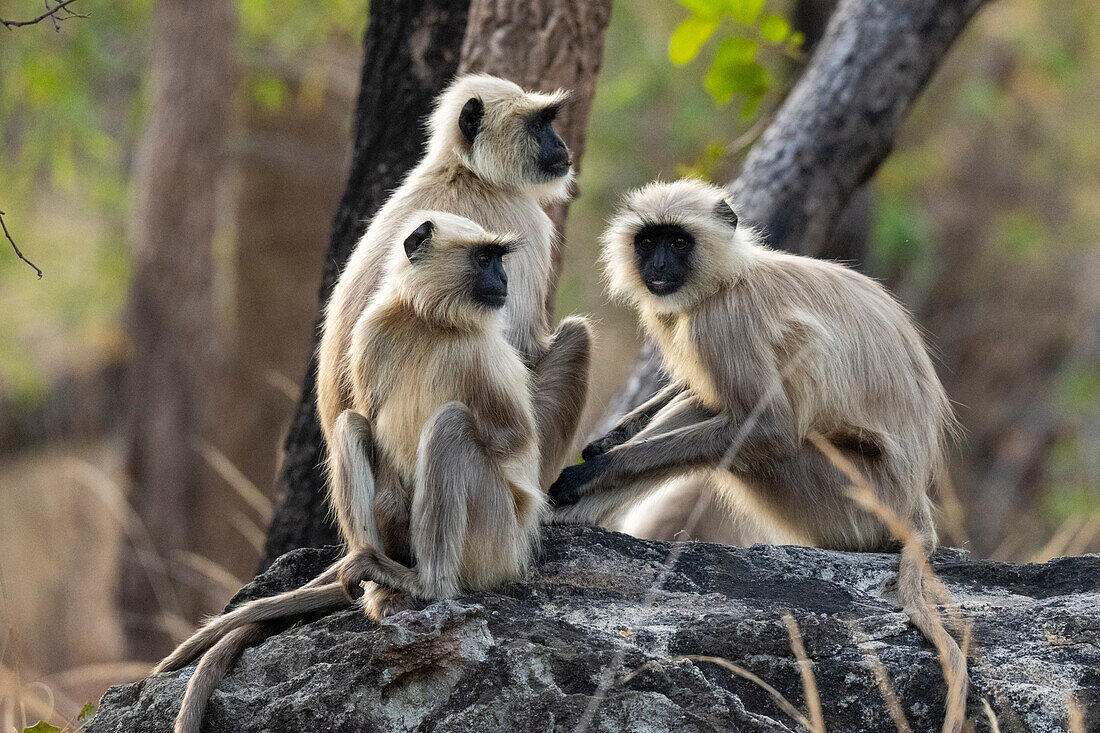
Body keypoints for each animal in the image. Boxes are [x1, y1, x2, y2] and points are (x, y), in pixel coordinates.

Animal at [158, 210, 545, 730]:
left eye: (498, 259)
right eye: (485, 259)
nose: (503, 280)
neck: (431, 321)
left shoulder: (485, 352)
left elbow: (515, 441)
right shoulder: (373, 330)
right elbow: (365, 418)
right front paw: (389, 508)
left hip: (497, 540)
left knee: (450, 426)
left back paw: (424, 584)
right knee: (352, 424)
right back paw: (379, 583)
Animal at [554, 178, 968, 730]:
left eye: (678, 242)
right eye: (648, 241)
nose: (657, 265)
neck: (731, 276)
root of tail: (915, 509)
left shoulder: (722, 322)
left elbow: (771, 428)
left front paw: (596, 469)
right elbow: (704, 397)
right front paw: (612, 436)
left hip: (842, 496)